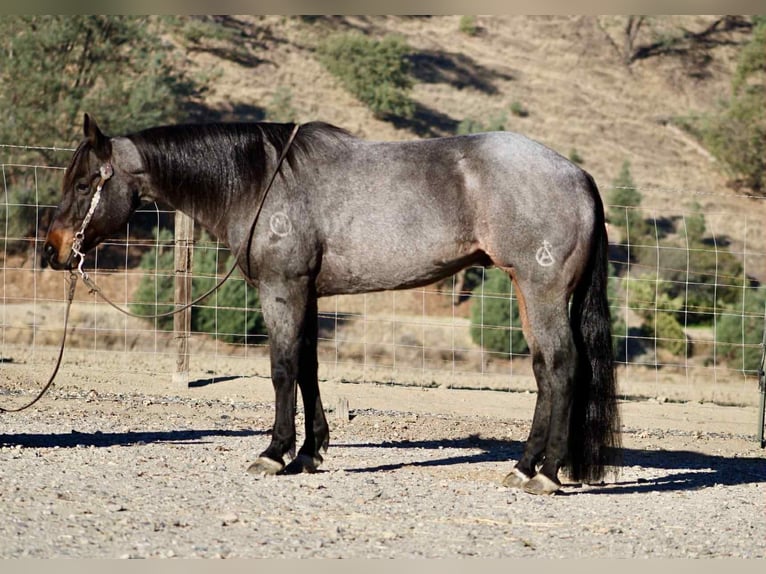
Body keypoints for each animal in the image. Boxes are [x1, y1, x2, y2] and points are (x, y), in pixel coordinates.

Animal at [43, 114, 621, 495]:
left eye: (84, 183)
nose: (53, 250)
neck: (261, 181)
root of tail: (579, 176)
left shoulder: (282, 289)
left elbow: (282, 369)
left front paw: (273, 454)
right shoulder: (307, 294)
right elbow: (307, 369)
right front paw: (309, 452)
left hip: (542, 292)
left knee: (562, 368)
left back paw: (546, 474)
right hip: (528, 292)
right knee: (545, 371)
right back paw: (526, 466)